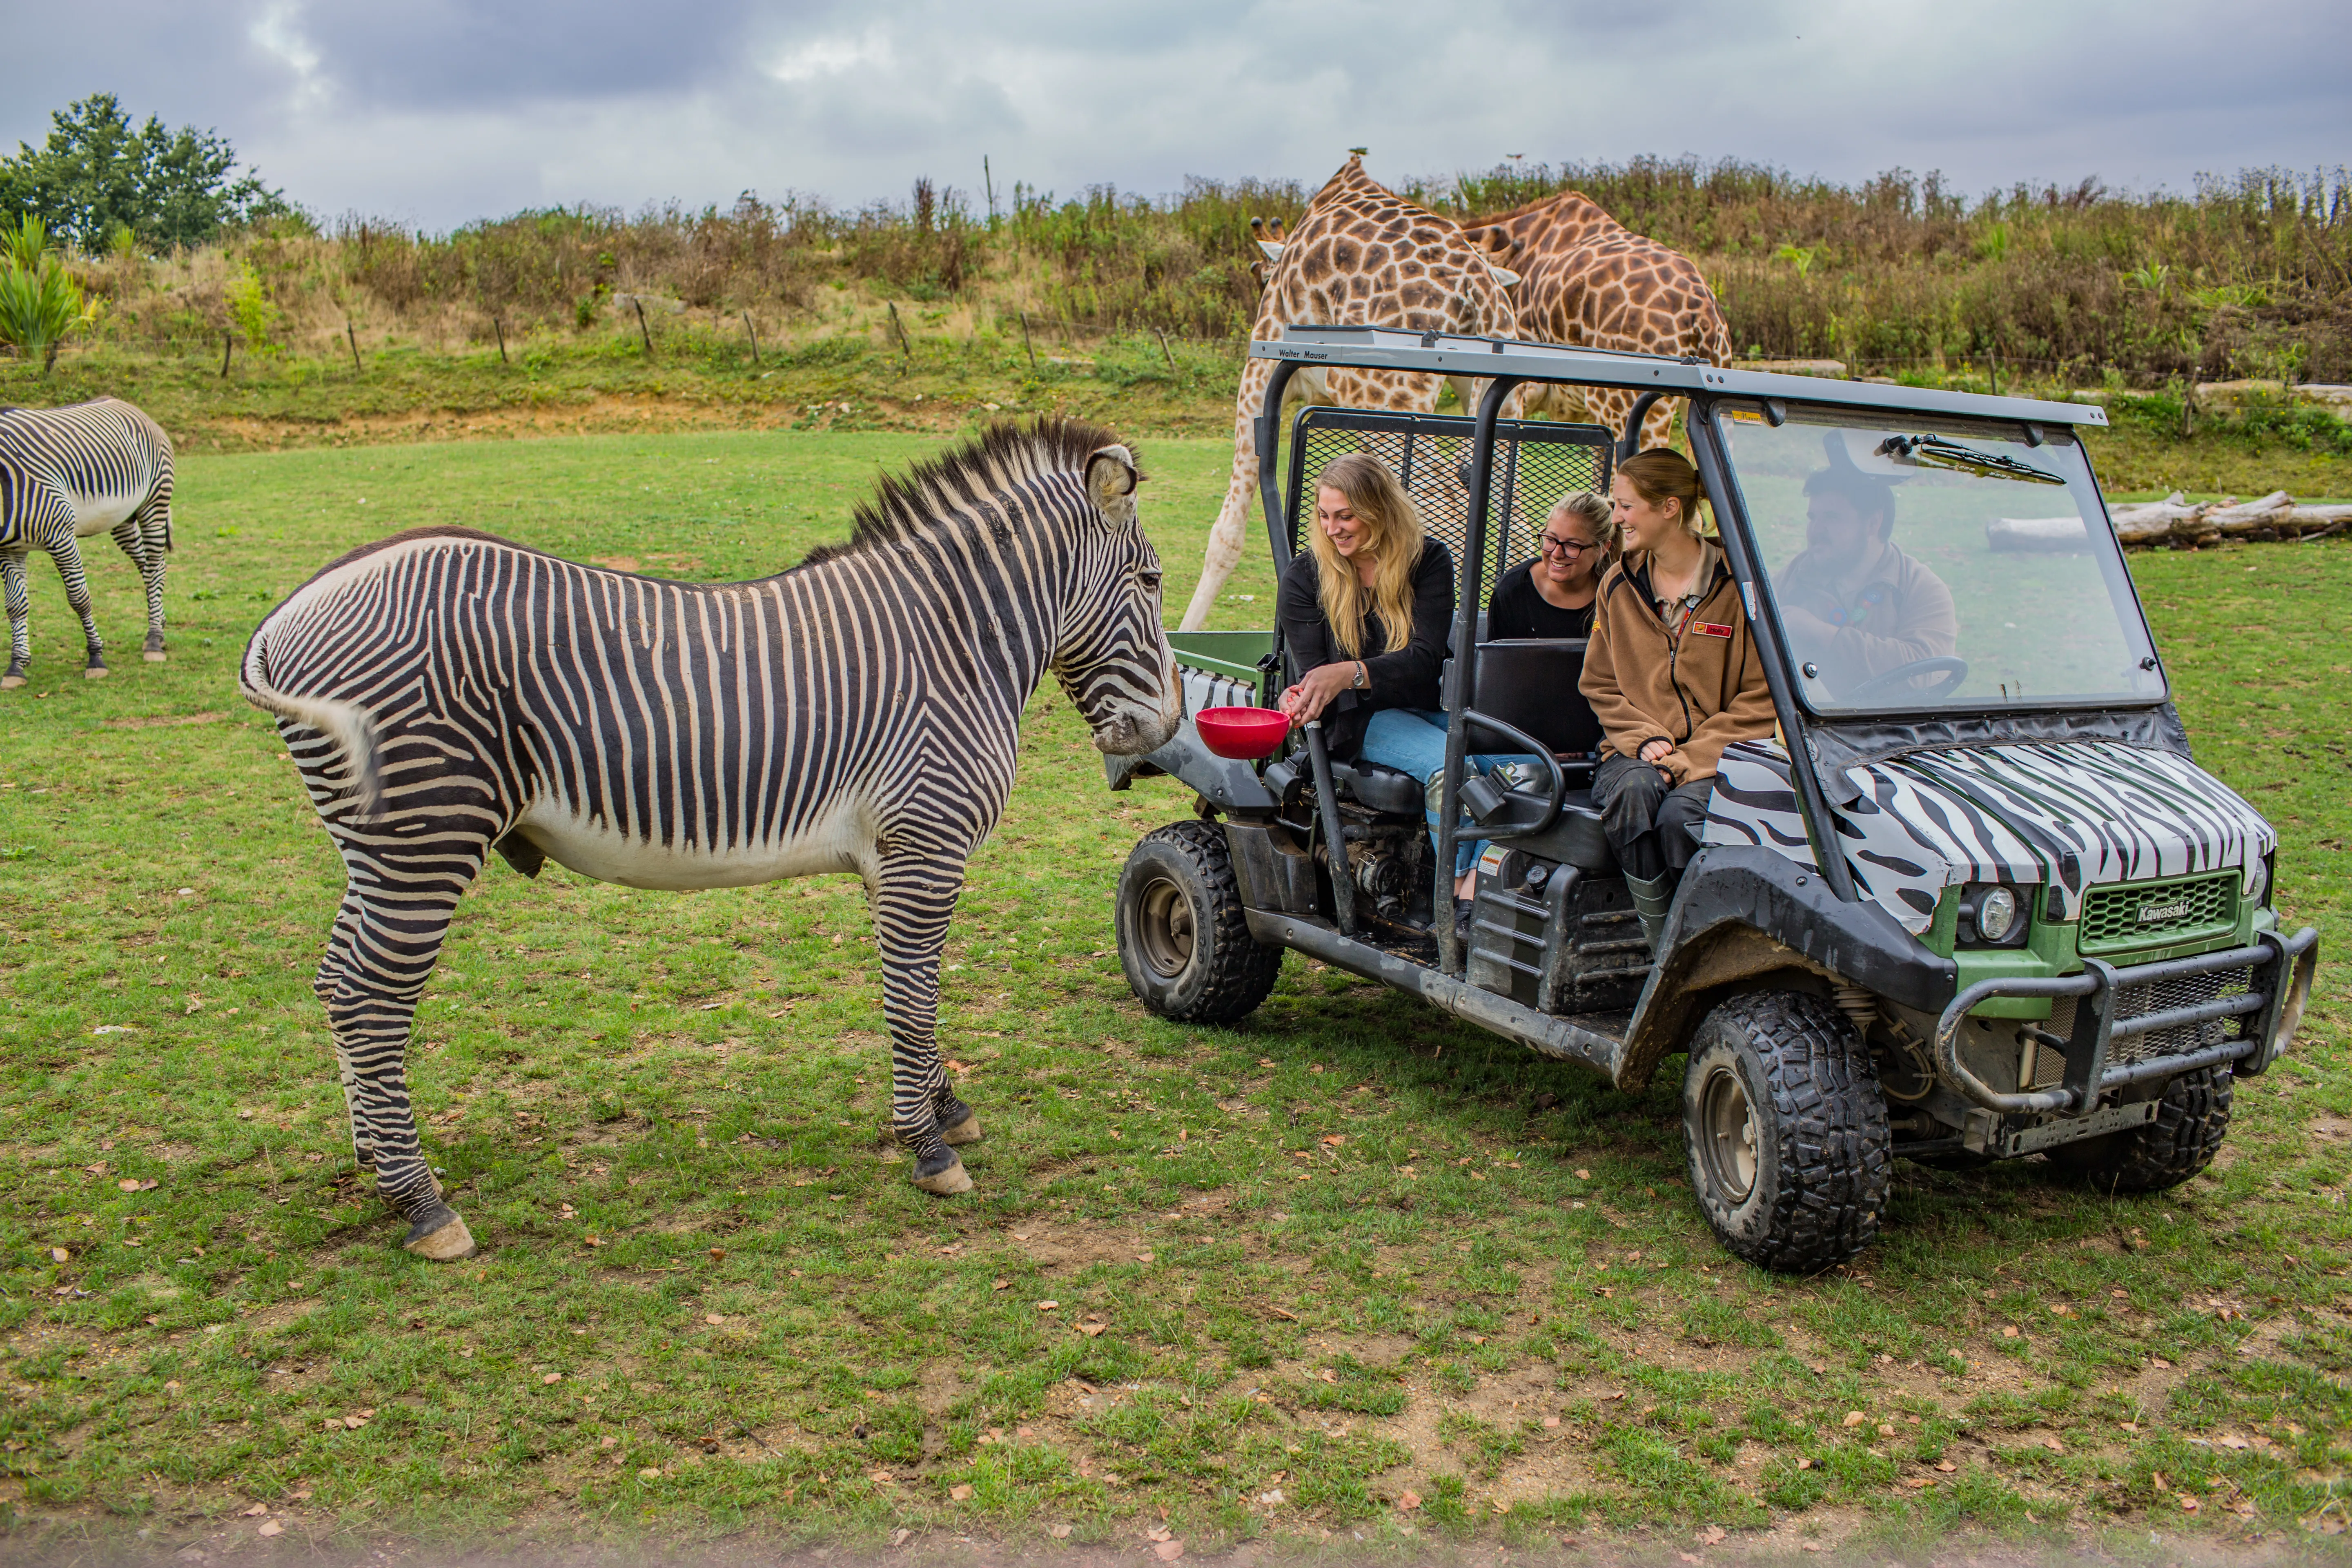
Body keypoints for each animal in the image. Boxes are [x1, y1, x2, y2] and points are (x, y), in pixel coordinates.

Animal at [1, 399, 176, 686]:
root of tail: (129, 405)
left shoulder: (61, 536)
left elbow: (79, 598)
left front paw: (96, 658)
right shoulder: (10, 549)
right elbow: (15, 606)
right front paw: (17, 666)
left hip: (155, 502)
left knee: (156, 568)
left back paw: (154, 640)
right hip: (123, 519)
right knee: (147, 567)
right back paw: (158, 623)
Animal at [243, 421, 1176, 1260]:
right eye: (1152, 579)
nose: (1164, 729)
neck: (953, 642)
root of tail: (291, 611)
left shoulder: (894, 857)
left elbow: (914, 991)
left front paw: (946, 1108)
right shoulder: (925, 844)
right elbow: (912, 998)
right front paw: (930, 1148)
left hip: (378, 852)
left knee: (335, 984)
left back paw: (374, 1160)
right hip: (425, 838)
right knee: (369, 998)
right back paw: (422, 1204)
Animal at [1176, 155, 1524, 630]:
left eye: (1260, 280)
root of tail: (1480, 289)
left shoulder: (1258, 375)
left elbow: (1226, 533)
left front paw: (1181, 634)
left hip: (1387, 399)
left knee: (1436, 518)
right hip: (1497, 400)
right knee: (1515, 519)